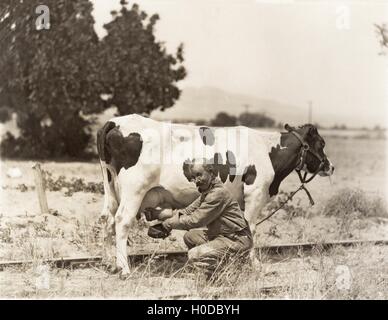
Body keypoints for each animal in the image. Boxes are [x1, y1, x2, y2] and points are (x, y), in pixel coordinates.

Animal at [96, 114, 334, 278]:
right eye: (322, 144)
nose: (330, 166)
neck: (267, 150)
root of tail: (115, 121)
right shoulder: (255, 193)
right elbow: (252, 228)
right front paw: (255, 264)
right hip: (134, 190)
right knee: (122, 221)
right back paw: (124, 269)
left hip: (111, 189)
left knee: (107, 219)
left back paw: (109, 263)